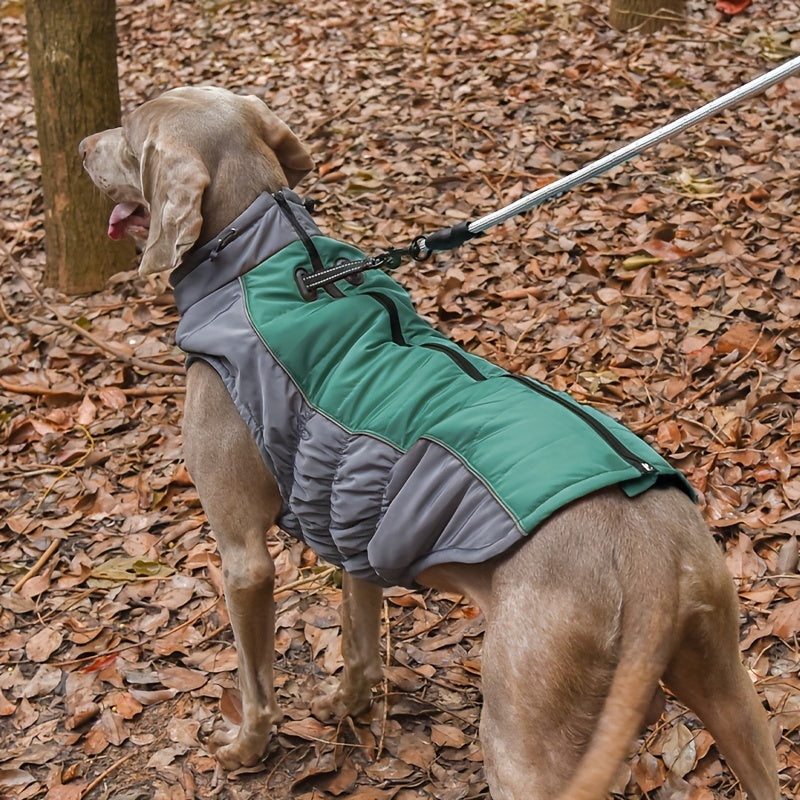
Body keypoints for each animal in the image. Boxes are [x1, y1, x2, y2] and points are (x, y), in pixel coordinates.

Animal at [78, 87, 780, 800]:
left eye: (129, 136)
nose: (79, 147)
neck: (272, 256)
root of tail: (649, 561)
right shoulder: (348, 527)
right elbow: (360, 645)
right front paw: (345, 706)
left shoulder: (244, 555)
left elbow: (256, 681)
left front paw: (244, 750)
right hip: (729, 692)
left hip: (525, 739)